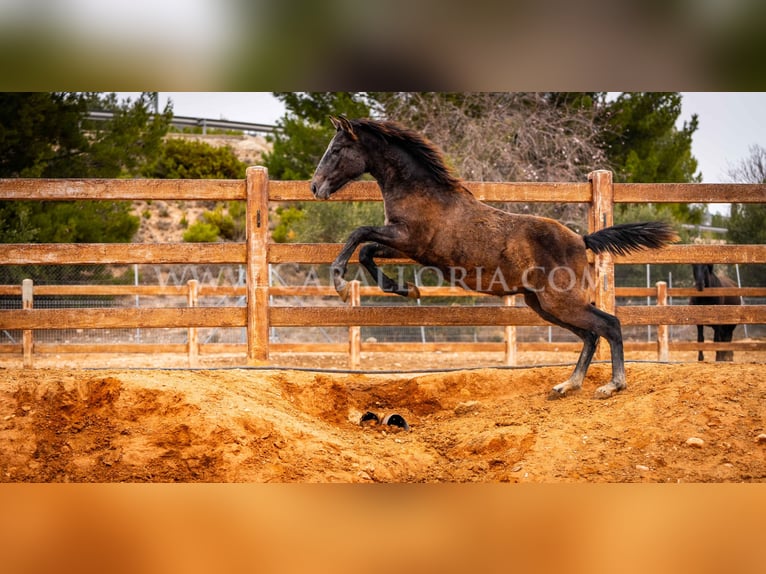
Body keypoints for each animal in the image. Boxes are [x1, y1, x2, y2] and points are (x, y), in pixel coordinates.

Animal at [308, 115, 680, 398]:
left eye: (337, 149)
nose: (314, 187)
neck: (422, 192)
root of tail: (582, 239)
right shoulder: (403, 245)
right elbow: (366, 250)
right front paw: (406, 290)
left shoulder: (408, 239)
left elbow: (359, 235)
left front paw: (340, 282)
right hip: (542, 305)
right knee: (590, 335)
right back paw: (567, 385)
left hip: (561, 302)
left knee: (609, 325)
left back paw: (612, 386)